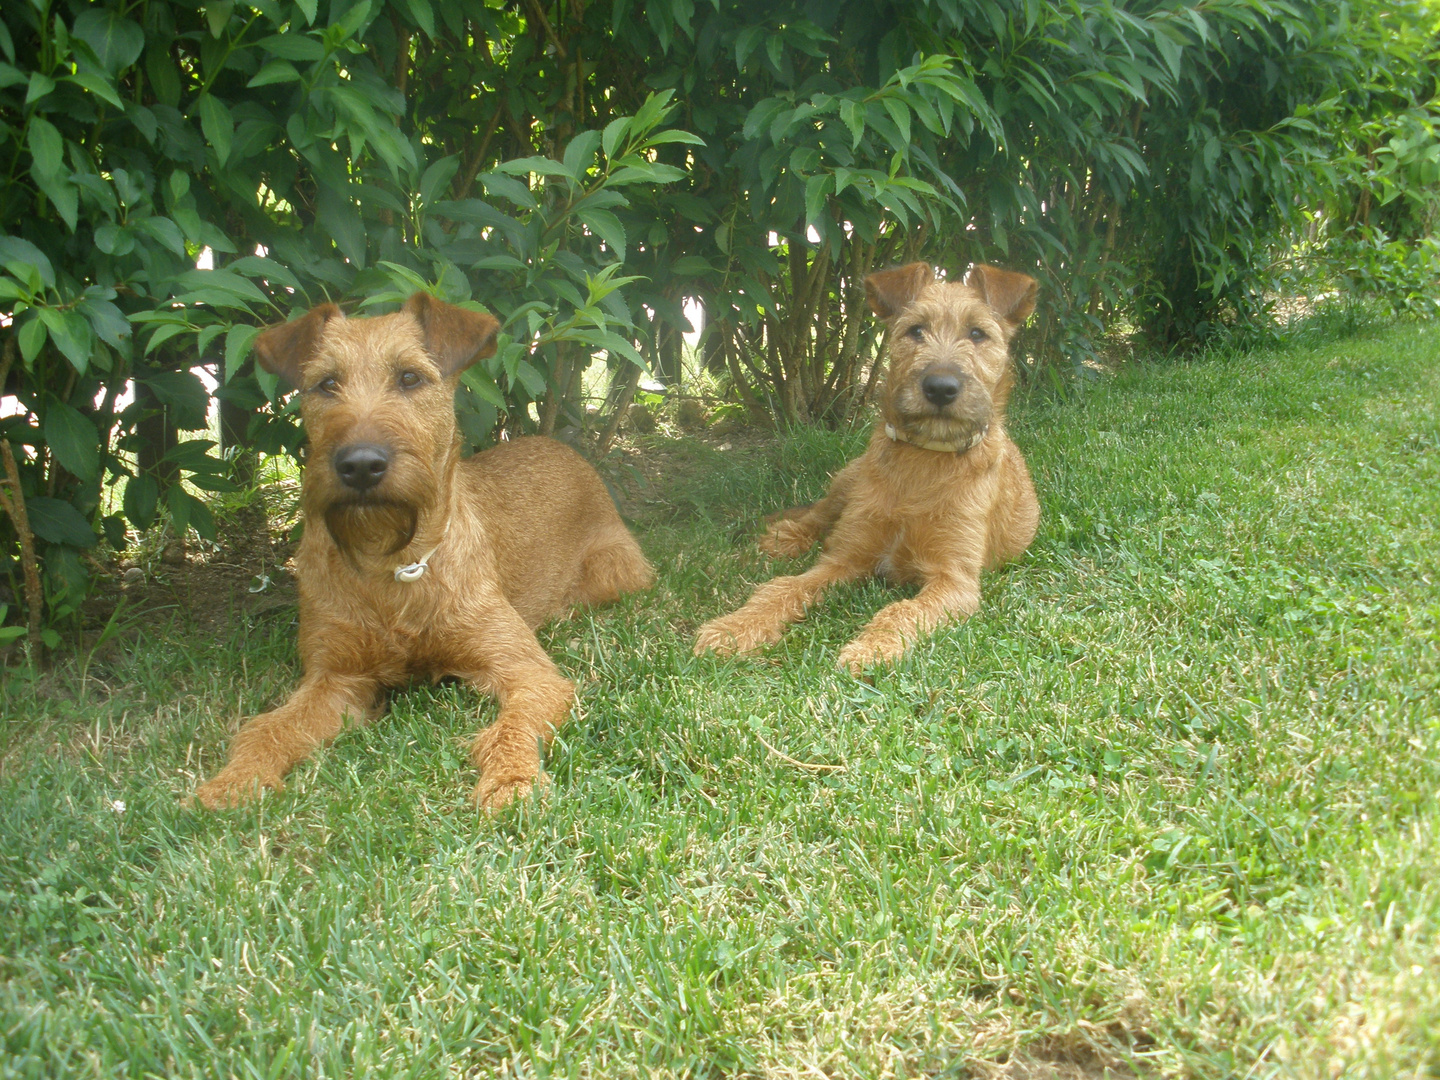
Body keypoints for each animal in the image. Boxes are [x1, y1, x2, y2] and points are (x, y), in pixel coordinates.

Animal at [195, 296, 653, 812]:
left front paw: (511, 781)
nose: (360, 465)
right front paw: (233, 782)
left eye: (410, 377)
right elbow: (266, 728)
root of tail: (562, 446)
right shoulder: (335, 678)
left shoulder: (526, 671)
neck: (391, 562)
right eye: (326, 383)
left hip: (614, 569)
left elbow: (511, 726)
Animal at [694, 262, 1036, 673]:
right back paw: (784, 536)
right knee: (818, 514)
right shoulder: (843, 557)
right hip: (849, 479)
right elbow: (783, 587)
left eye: (977, 333)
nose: (940, 388)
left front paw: (871, 649)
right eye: (915, 330)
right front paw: (734, 629)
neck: (925, 461)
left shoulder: (954, 580)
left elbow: (902, 611)